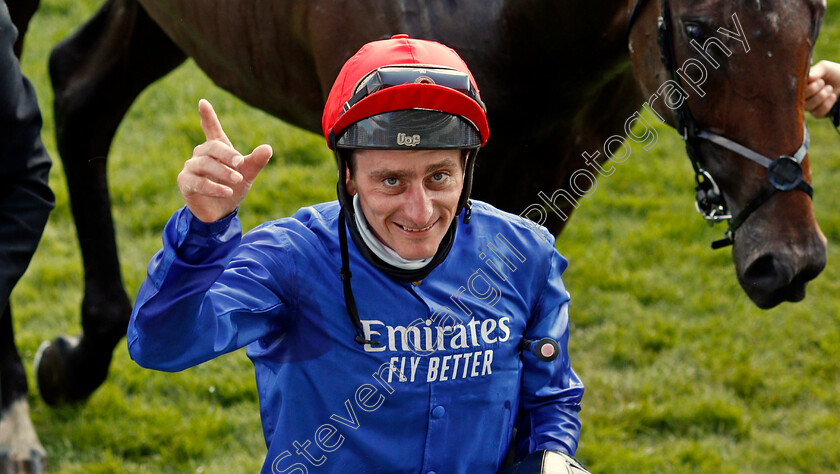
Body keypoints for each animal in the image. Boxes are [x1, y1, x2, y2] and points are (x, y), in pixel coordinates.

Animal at [0, 0, 828, 470]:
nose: (790, 257)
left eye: (817, 17)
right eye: (697, 26)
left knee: (80, 87)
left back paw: (76, 360)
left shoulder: (562, 158)